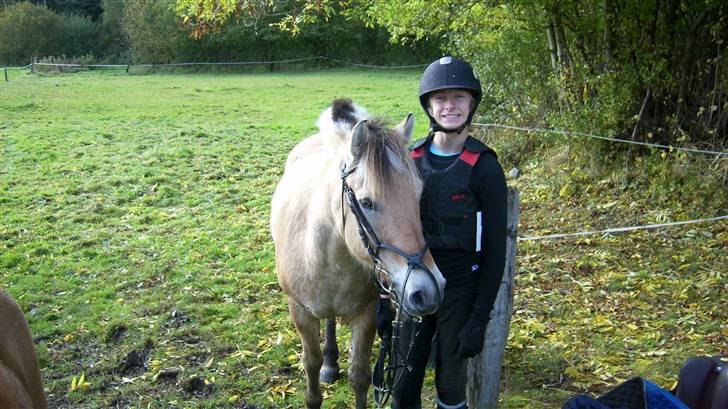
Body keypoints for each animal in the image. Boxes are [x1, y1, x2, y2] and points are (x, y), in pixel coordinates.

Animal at [270, 99, 446, 408]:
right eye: (366, 202)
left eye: (419, 194)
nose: (428, 290)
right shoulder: (300, 313)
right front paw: (320, 371)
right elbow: (311, 365)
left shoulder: (367, 316)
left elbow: (360, 376)